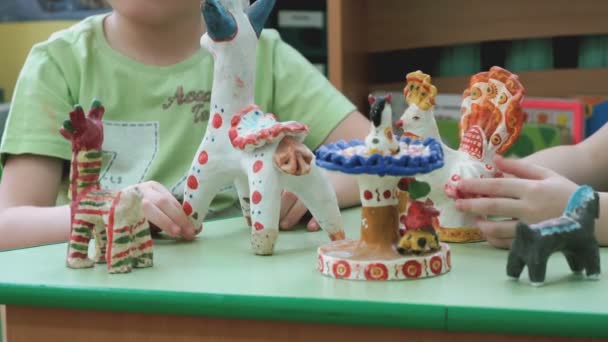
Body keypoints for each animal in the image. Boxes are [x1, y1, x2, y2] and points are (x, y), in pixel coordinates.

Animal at [183, 0, 344, 254]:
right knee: (330, 210)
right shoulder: (240, 175)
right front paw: (245, 221)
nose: (202, 42)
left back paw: (259, 248)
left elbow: (191, 204)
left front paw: (188, 230)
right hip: (315, 177)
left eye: (207, 37)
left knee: (265, 223)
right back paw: (338, 239)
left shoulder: (204, 167)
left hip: (264, 182)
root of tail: (290, 150)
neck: (227, 116)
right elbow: (244, 200)